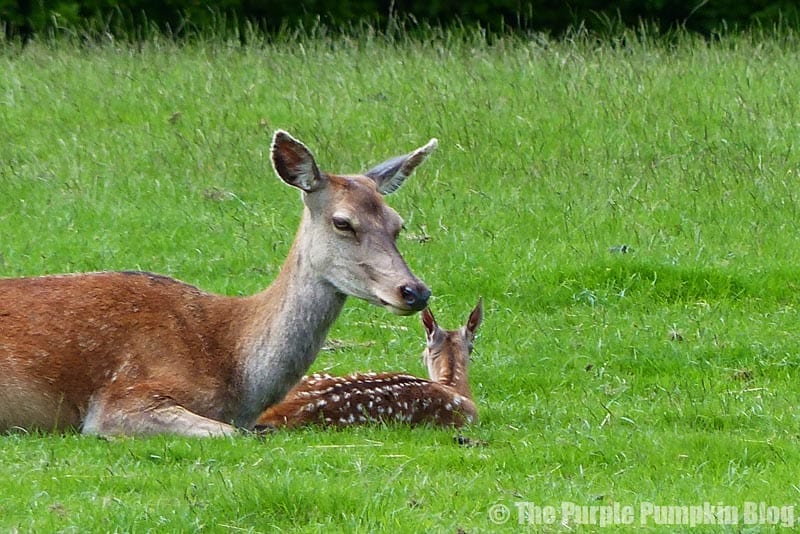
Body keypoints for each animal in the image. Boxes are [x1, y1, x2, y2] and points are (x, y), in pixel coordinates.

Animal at [0, 130, 437, 437]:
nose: (415, 291)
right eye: (343, 222)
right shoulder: (121, 399)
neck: (234, 366)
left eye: (397, 224)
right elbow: (234, 434)